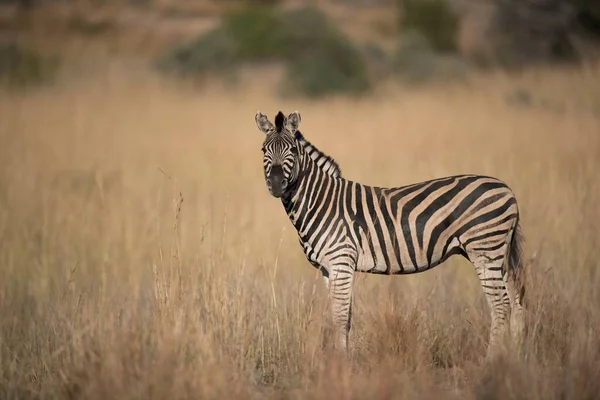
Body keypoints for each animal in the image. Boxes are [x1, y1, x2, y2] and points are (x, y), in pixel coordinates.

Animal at [255, 110, 528, 360]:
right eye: (263, 150)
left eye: (291, 149)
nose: (276, 184)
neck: (320, 201)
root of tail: (508, 190)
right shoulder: (328, 267)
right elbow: (343, 315)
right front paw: (343, 359)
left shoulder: (341, 260)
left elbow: (340, 316)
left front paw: (341, 363)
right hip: (499, 254)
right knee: (516, 301)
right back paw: (514, 360)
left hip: (484, 249)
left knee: (501, 305)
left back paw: (491, 362)